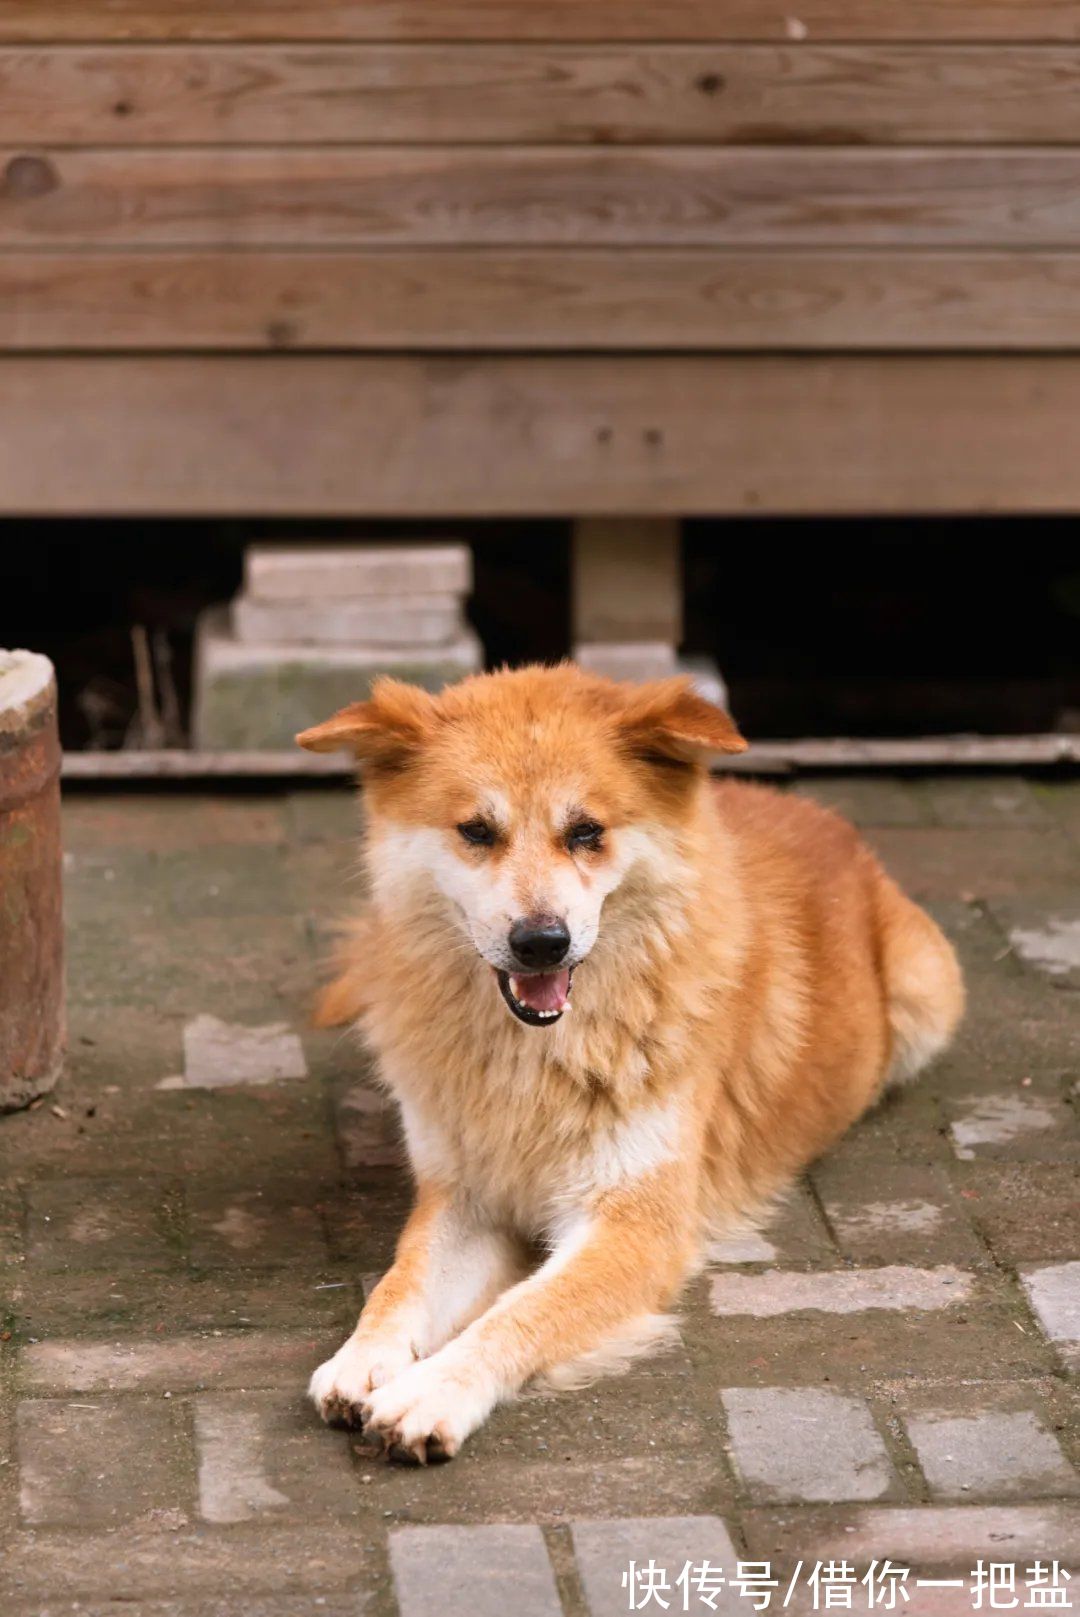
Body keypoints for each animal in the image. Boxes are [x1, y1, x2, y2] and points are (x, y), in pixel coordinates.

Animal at [292, 666, 963, 1468]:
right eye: (477, 831)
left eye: (587, 832)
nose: (541, 942)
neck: (537, 1059)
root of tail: (828, 819)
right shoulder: (462, 1198)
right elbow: (401, 1281)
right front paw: (366, 1355)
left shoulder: (637, 1227)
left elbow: (520, 1310)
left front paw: (434, 1389)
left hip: (928, 993)